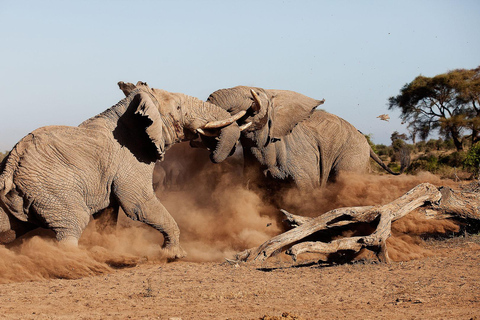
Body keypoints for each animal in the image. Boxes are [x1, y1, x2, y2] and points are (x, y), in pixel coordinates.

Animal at [0, 80, 244, 260]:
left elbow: (108, 212)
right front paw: (174, 255)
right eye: (178, 108)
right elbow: (138, 204)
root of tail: (11, 161)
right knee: (74, 221)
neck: (129, 111)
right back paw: (77, 261)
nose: (210, 151)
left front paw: (105, 245)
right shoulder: (130, 158)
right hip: (52, 187)